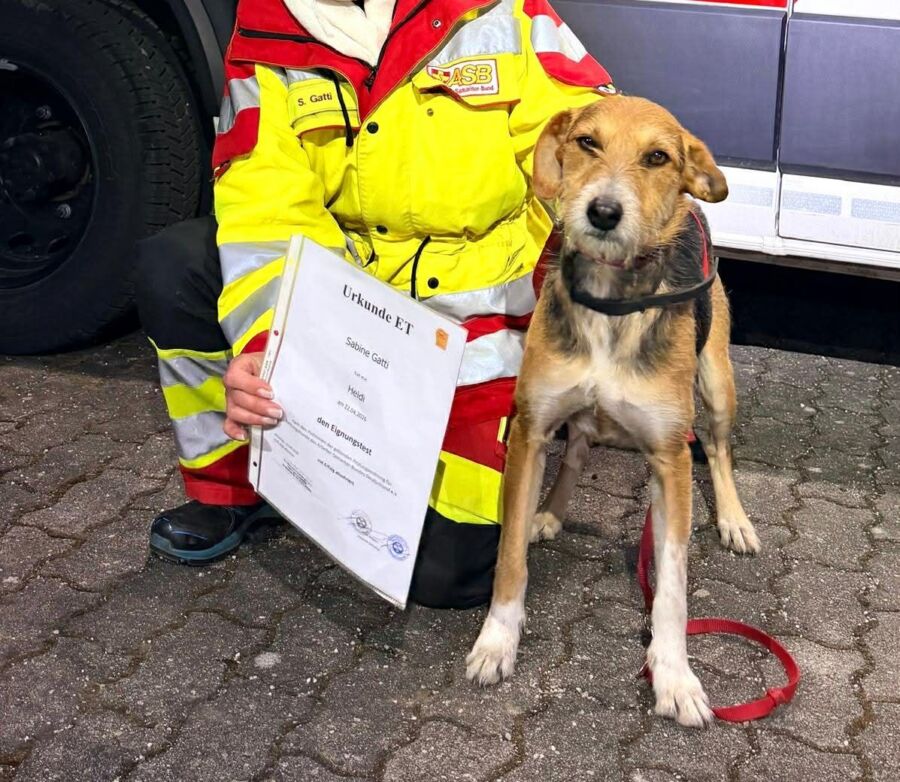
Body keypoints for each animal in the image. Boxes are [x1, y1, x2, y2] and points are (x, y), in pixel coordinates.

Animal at [465, 96, 759, 728]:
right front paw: (497, 640)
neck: (611, 300)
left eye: (658, 158)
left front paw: (674, 675)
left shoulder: (670, 458)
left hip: (716, 381)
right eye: (587, 143)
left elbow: (672, 584)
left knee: (718, 448)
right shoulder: (530, 430)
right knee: (578, 448)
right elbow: (509, 558)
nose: (602, 212)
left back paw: (733, 519)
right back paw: (550, 512)